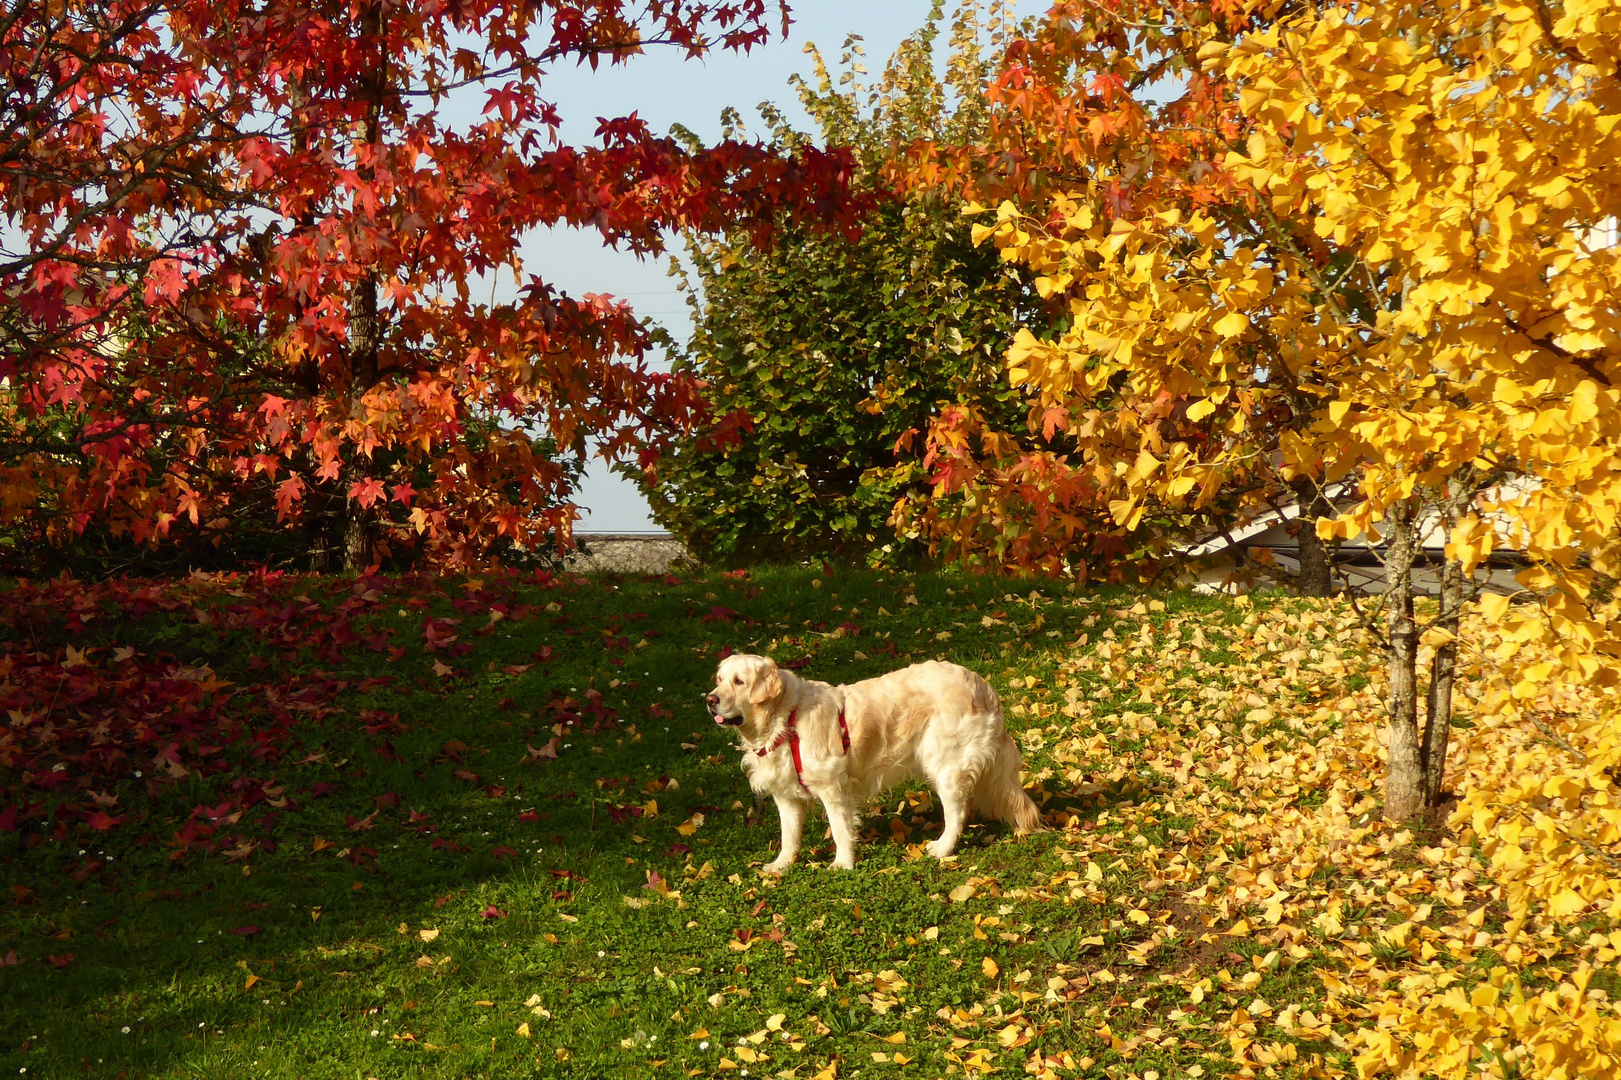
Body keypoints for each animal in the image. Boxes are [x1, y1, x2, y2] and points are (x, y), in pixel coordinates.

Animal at [706, 648, 1037, 869]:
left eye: (739, 681)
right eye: (720, 679)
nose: (709, 700)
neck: (786, 718)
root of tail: (983, 686)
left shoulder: (833, 787)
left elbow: (840, 829)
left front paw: (843, 864)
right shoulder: (786, 796)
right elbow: (789, 836)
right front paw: (781, 865)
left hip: (945, 763)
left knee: (957, 811)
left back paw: (941, 848)